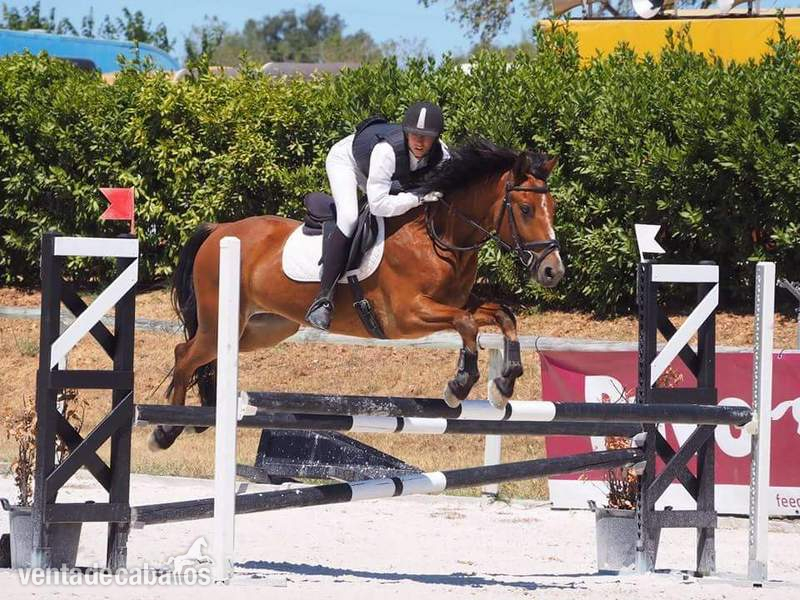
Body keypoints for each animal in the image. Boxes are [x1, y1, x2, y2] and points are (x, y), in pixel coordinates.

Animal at [149, 139, 565, 451]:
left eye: (554, 207)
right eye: (525, 208)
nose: (553, 271)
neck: (438, 237)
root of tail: (220, 229)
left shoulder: (458, 302)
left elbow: (503, 315)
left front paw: (505, 383)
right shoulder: (406, 316)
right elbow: (466, 325)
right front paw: (459, 384)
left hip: (260, 329)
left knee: (203, 356)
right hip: (221, 322)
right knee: (184, 354)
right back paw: (165, 431)